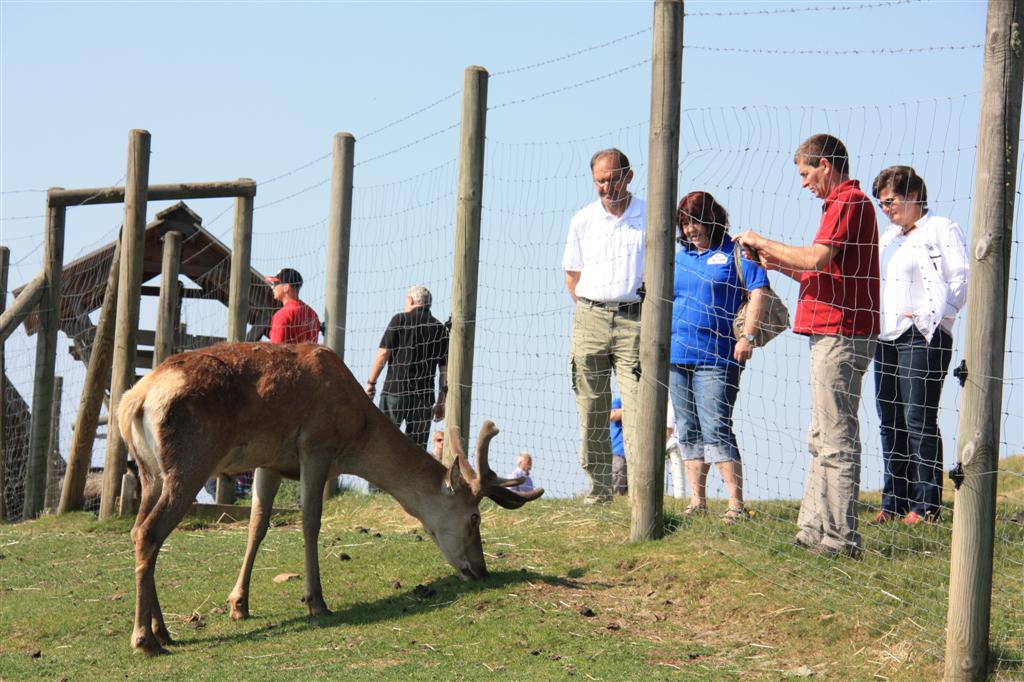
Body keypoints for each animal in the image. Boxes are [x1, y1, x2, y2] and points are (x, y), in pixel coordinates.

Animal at [118, 342, 544, 655]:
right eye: (474, 517)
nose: (481, 570)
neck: (357, 431)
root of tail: (134, 402)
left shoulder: (270, 462)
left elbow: (258, 524)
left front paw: (239, 605)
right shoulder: (316, 443)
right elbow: (310, 520)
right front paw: (316, 602)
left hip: (151, 472)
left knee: (142, 530)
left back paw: (163, 630)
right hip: (190, 463)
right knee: (149, 533)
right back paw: (144, 640)